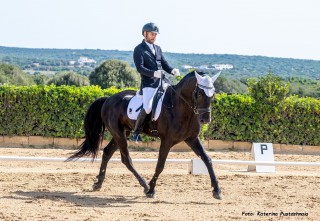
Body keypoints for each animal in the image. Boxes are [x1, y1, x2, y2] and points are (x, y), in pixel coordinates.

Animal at [67, 71, 222, 200]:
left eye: (213, 94)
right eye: (200, 93)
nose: (205, 119)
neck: (181, 108)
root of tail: (108, 99)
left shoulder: (192, 139)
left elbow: (207, 160)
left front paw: (217, 191)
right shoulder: (167, 140)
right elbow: (160, 165)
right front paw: (152, 190)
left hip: (123, 132)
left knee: (107, 152)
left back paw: (98, 183)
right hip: (119, 134)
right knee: (126, 159)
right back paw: (145, 186)